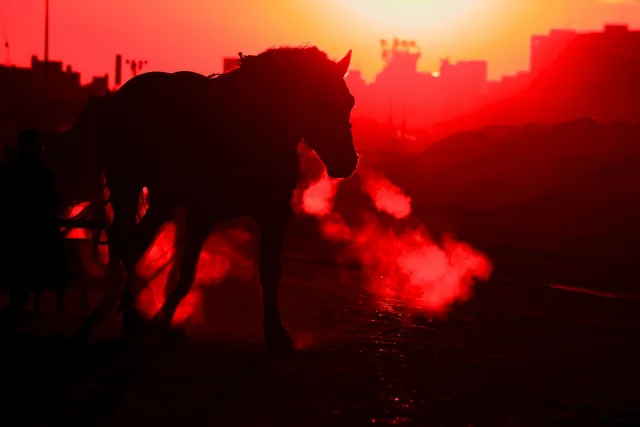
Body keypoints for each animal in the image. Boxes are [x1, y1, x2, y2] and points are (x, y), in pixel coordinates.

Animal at [50, 46, 358, 352]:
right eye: (319, 102)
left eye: (349, 102)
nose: (347, 162)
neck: (251, 130)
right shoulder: (200, 210)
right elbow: (180, 268)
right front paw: (157, 321)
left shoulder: (269, 214)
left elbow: (261, 270)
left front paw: (275, 331)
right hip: (129, 187)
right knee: (128, 243)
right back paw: (129, 312)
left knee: (132, 243)